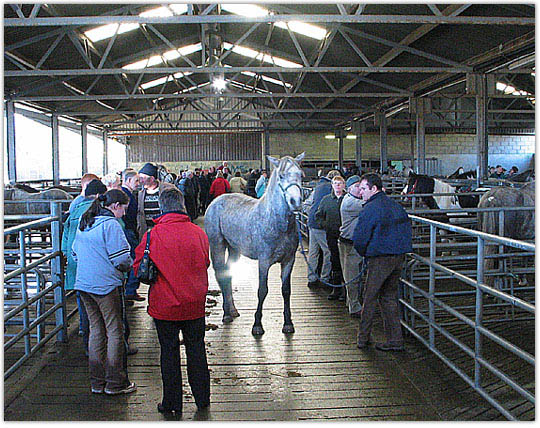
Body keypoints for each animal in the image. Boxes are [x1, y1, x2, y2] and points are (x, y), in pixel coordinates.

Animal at [205, 152, 304, 336]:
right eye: (281, 175)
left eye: (300, 175)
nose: (296, 202)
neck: (275, 221)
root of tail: (216, 201)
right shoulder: (264, 262)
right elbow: (262, 290)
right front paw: (257, 325)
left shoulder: (289, 260)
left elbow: (286, 291)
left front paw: (288, 324)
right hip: (217, 245)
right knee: (221, 273)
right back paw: (226, 314)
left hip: (234, 249)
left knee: (228, 273)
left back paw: (233, 310)